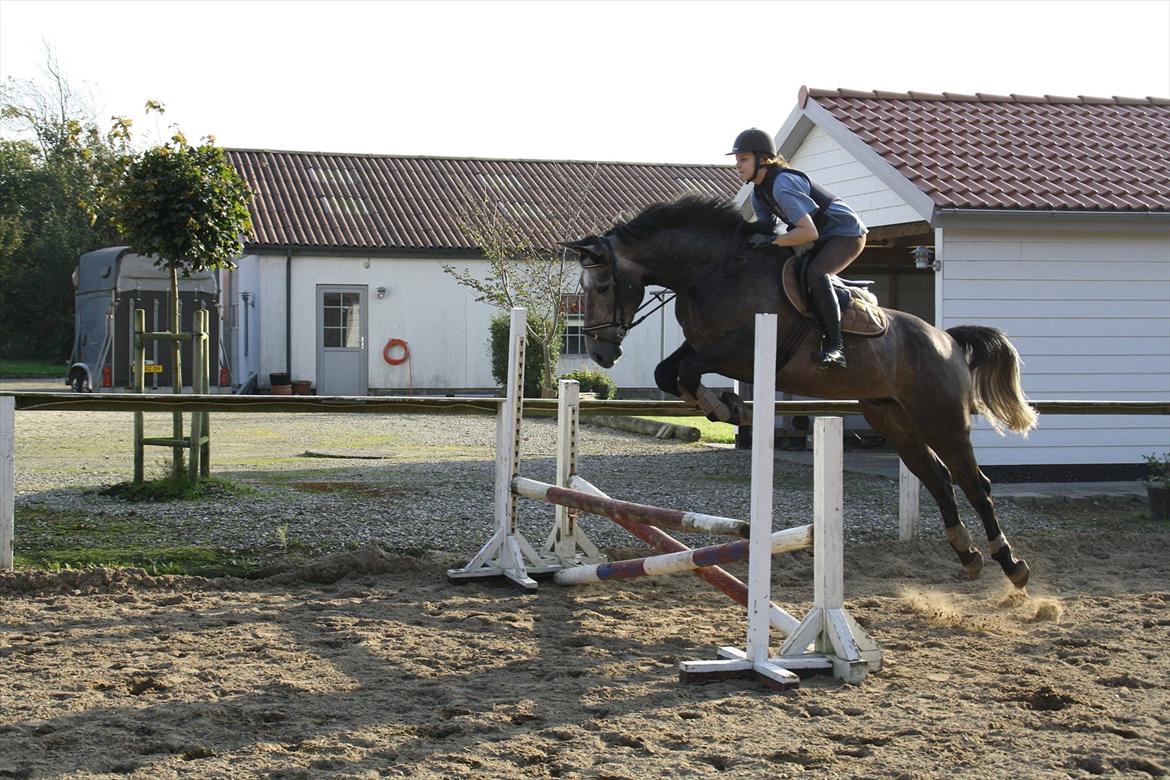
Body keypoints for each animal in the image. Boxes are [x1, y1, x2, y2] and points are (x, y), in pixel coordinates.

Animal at [561, 194, 1038, 584]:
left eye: (602, 286)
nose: (601, 353)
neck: (711, 271)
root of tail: (947, 340)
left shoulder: (742, 349)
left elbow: (688, 371)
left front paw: (730, 407)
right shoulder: (701, 345)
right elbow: (668, 373)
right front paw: (723, 406)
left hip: (942, 420)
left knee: (975, 483)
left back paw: (1010, 563)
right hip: (894, 419)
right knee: (937, 478)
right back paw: (968, 554)